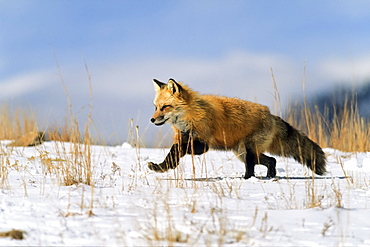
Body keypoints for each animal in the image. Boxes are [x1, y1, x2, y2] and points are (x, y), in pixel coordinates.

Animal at [148, 78, 326, 178]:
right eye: (155, 107)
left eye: (165, 107)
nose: (152, 119)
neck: (191, 115)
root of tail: (271, 115)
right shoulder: (186, 137)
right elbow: (174, 151)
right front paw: (162, 167)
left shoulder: (202, 144)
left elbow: (177, 149)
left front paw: (165, 166)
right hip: (243, 153)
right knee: (271, 160)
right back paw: (269, 176)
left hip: (248, 151)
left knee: (253, 166)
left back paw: (247, 179)